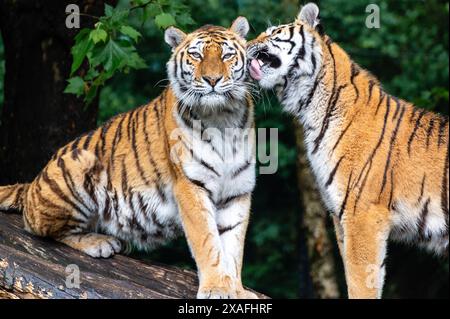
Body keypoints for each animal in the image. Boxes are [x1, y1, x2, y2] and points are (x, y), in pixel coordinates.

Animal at [0, 18, 258, 302]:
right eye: (196, 55)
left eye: (227, 55)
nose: (212, 79)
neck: (222, 117)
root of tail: (31, 185)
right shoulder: (190, 186)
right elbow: (207, 241)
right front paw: (216, 288)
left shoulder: (237, 190)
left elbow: (232, 248)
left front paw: (235, 289)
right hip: (76, 166)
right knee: (42, 229)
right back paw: (100, 242)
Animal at [248, 2, 448, 298]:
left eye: (273, 32)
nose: (246, 44)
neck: (310, 109)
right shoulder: (340, 216)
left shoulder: (362, 215)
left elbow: (360, 281)